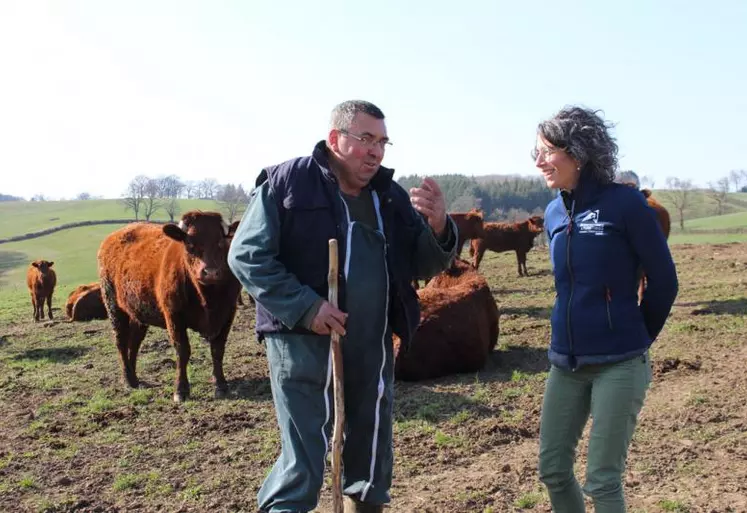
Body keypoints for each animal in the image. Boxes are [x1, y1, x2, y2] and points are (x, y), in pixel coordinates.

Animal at [98, 210, 241, 402]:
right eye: (189, 244)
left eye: (220, 242)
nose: (210, 272)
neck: (208, 298)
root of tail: (114, 235)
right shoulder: (173, 315)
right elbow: (182, 351)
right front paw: (181, 390)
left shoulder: (227, 313)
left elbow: (217, 350)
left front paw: (221, 384)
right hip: (114, 306)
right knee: (121, 341)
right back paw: (127, 379)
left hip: (138, 312)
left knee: (133, 343)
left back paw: (134, 378)